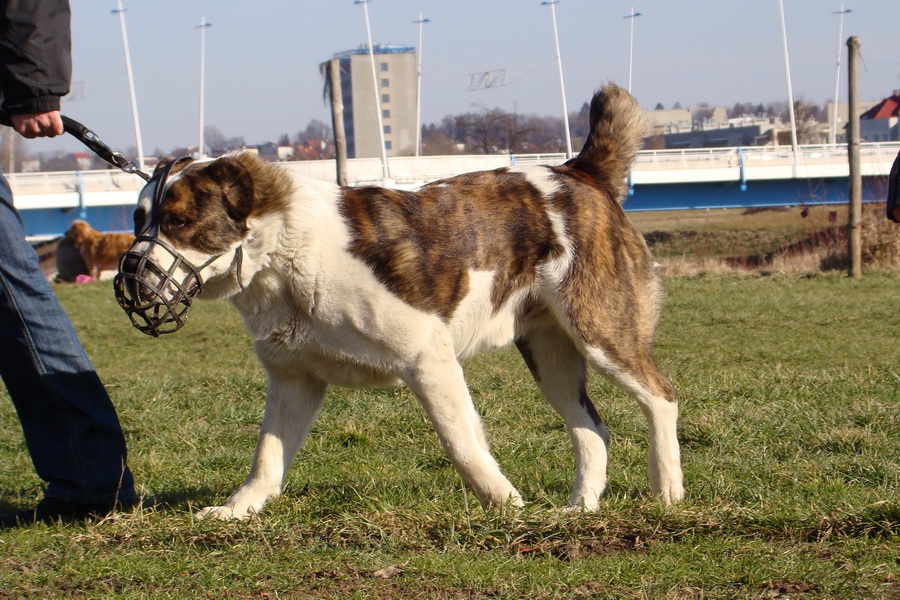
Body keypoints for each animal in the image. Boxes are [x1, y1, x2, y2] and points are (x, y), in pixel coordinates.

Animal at [116, 82, 684, 516]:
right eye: (138, 220)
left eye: (179, 222)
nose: (132, 276)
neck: (285, 257)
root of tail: (576, 170)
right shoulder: (294, 380)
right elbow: (266, 457)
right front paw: (239, 510)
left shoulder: (428, 359)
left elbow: (461, 443)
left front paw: (503, 502)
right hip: (551, 356)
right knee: (592, 430)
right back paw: (580, 508)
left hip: (601, 333)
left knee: (661, 397)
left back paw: (667, 489)